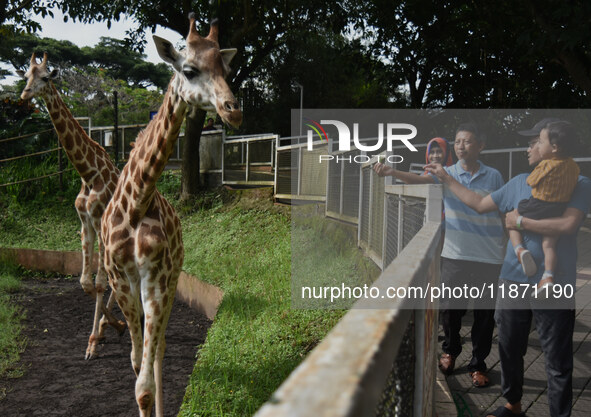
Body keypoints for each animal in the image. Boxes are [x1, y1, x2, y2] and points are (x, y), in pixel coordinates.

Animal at [16, 52, 125, 358]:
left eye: (44, 77)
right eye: (25, 76)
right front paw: (108, 328)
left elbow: (99, 282)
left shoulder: (99, 222)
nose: (24, 95)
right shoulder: (84, 222)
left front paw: (95, 340)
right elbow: (85, 283)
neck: (87, 173)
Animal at [102, 13, 243, 416]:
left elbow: (145, 382)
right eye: (190, 70)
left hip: (171, 277)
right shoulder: (120, 279)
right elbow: (136, 365)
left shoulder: (157, 278)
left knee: (161, 348)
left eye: (227, 68)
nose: (234, 110)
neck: (137, 201)